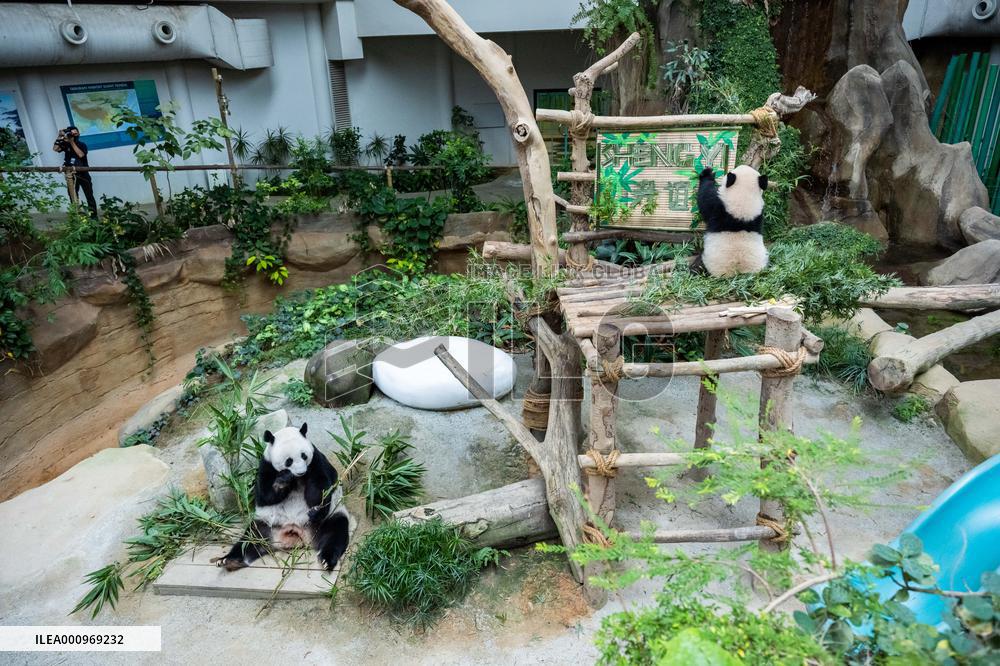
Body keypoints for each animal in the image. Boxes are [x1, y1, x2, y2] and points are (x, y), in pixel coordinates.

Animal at [216, 423, 350, 572]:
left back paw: (327, 559)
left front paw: (315, 510)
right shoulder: (266, 466)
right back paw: (229, 560)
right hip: (264, 525)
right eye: (288, 461)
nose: (301, 472)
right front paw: (283, 479)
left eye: (304, 456)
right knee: (249, 540)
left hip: (327, 520)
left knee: (335, 532)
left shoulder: (317, 462)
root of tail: (295, 533)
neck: (298, 479)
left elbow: (320, 492)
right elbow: (265, 495)